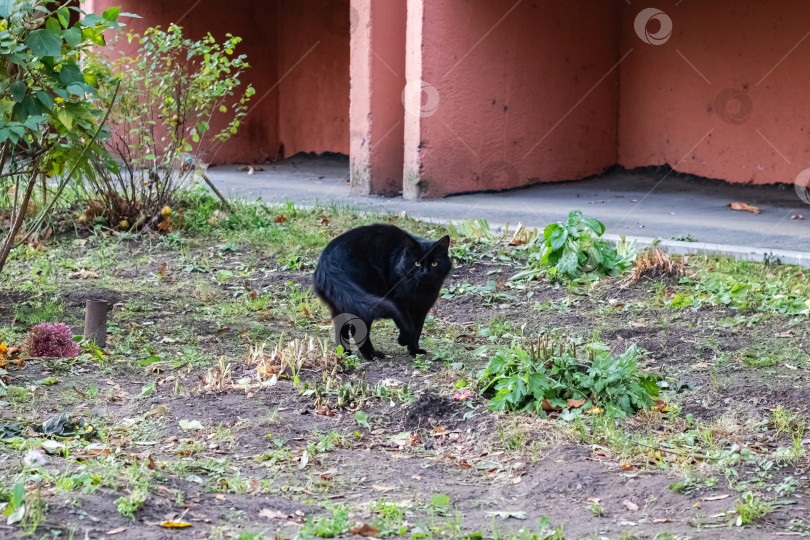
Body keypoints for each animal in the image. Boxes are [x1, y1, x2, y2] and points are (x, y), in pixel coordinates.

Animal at [310, 224, 452, 358]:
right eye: (416, 263)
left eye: (434, 264)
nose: (425, 273)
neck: (421, 289)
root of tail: (327, 257)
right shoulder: (399, 302)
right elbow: (410, 327)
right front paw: (403, 340)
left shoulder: (422, 308)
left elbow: (417, 330)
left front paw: (414, 351)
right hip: (364, 300)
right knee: (358, 330)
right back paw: (372, 355)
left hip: (342, 303)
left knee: (342, 328)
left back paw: (346, 355)